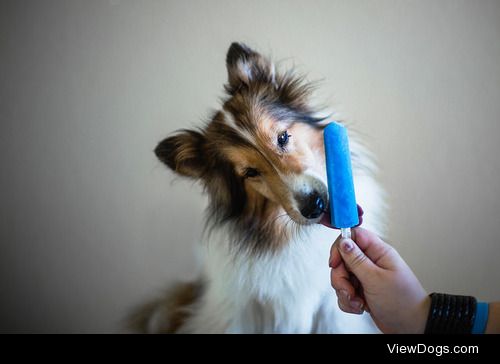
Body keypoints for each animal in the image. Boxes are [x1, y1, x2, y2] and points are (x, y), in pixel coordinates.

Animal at [131, 42, 384, 332]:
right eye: (250, 172)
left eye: (283, 137)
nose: (314, 205)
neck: (290, 233)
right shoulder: (233, 313)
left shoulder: (331, 313)